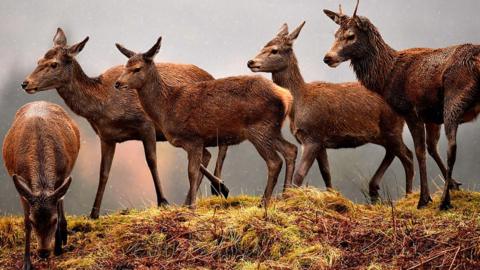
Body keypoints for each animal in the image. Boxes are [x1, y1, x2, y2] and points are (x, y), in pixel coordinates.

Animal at [2, 100, 79, 268]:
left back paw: (63, 235)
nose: (43, 252)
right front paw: (26, 263)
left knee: (61, 200)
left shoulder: (60, 178)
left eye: (53, 220)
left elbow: (58, 205)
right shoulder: (23, 187)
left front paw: (58, 248)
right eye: (33, 221)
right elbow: (24, 222)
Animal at [23, 28, 230, 219]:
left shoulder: (146, 124)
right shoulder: (106, 136)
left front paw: (163, 201)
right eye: (38, 60)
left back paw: (212, 190)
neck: (104, 105)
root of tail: (211, 76)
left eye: (54, 64)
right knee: (206, 154)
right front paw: (93, 213)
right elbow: (103, 172)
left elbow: (152, 161)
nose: (25, 83)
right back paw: (207, 192)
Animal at [115, 36, 298, 207]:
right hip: (272, 129)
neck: (167, 107)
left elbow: (192, 172)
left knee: (274, 161)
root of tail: (287, 96)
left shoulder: (193, 138)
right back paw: (285, 194)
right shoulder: (193, 142)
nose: (117, 83)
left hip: (258, 128)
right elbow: (199, 167)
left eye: (137, 68)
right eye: (125, 66)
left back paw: (263, 202)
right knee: (291, 149)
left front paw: (192, 206)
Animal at [248, 21, 416, 200]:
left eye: (275, 50)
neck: (299, 104)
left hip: (393, 127)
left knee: (408, 156)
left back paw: (408, 195)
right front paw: (332, 195)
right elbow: (326, 172)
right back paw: (374, 188)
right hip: (383, 133)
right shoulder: (321, 141)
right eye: (263, 46)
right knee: (392, 152)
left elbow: (300, 175)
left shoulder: (313, 137)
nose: (250, 62)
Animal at [322, 1, 472, 210]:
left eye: (350, 36)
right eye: (335, 34)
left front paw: (425, 198)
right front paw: (453, 185)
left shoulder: (414, 111)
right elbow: (432, 147)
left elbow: (421, 150)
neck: (389, 73)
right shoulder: (431, 116)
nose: (328, 58)